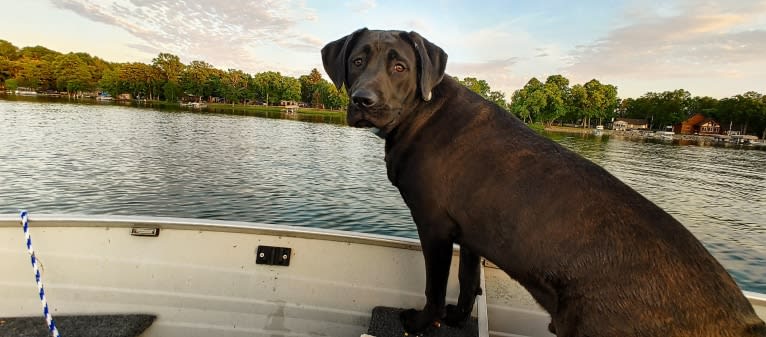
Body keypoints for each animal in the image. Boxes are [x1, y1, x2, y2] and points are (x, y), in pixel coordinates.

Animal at [320, 28, 764, 336]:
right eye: (357, 61)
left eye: (400, 68)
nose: (363, 101)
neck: (419, 113)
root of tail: (743, 321)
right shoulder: (472, 233)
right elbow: (466, 283)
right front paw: (458, 317)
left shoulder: (434, 226)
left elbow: (434, 287)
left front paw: (419, 322)